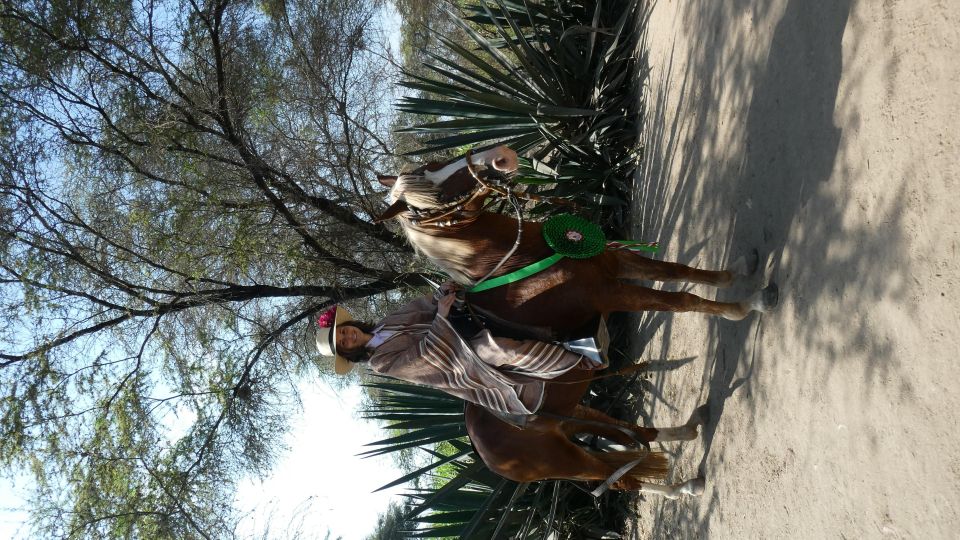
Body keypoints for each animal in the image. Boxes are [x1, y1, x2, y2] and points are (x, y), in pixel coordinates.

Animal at [378, 146, 776, 496]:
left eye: (433, 165)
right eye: (435, 196)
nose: (498, 157)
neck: (521, 264)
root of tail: (482, 450)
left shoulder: (618, 265)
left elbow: (682, 272)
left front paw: (740, 271)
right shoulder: (612, 294)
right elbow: (683, 300)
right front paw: (749, 305)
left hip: (574, 412)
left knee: (637, 436)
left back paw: (691, 428)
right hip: (568, 459)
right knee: (619, 480)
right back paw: (686, 487)